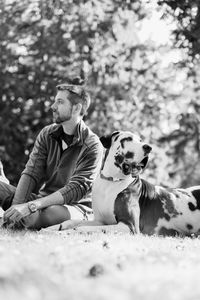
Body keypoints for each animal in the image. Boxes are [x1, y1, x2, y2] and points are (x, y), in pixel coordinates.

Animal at [55, 131, 200, 237]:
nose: (148, 147)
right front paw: (60, 226)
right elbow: (73, 221)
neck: (111, 181)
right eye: (128, 139)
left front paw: (69, 231)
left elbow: (83, 228)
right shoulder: (100, 220)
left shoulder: (129, 226)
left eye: (141, 140)